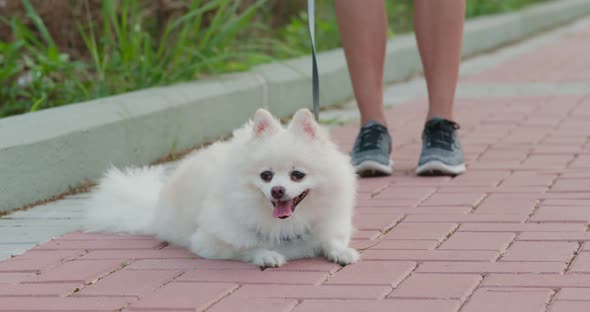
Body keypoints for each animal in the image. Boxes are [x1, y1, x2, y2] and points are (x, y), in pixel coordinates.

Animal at [84, 108, 360, 266]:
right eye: (266, 175)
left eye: (297, 175)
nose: (277, 190)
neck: (285, 224)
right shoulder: (208, 242)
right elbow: (245, 247)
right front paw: (266, 254)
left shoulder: (326, 227)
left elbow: (330, 240)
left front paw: (342, 252)